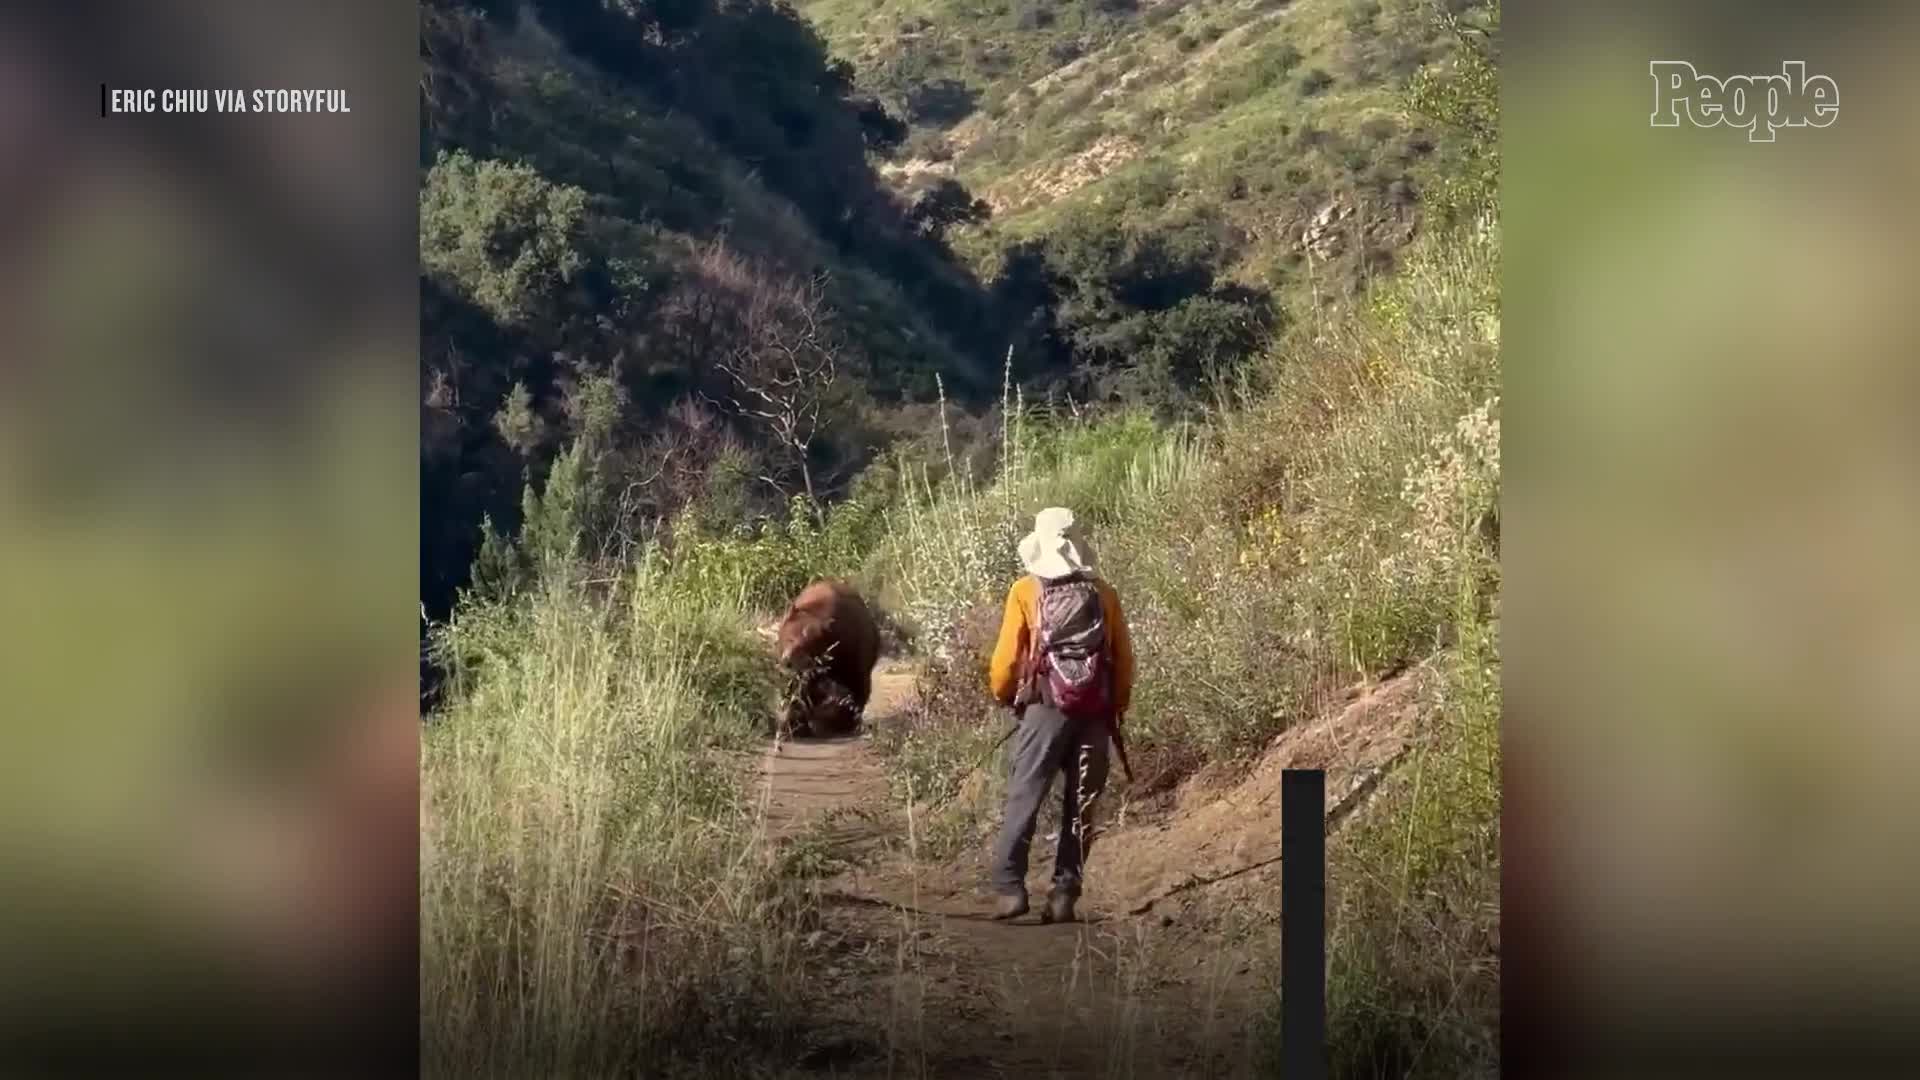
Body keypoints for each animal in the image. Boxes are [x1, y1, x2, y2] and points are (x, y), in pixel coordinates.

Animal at [773, 580, 880, 739]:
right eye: (790, 638)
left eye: (807, 645)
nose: (788, 661)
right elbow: (797, 690)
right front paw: (795, 724)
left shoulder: (852, 648)